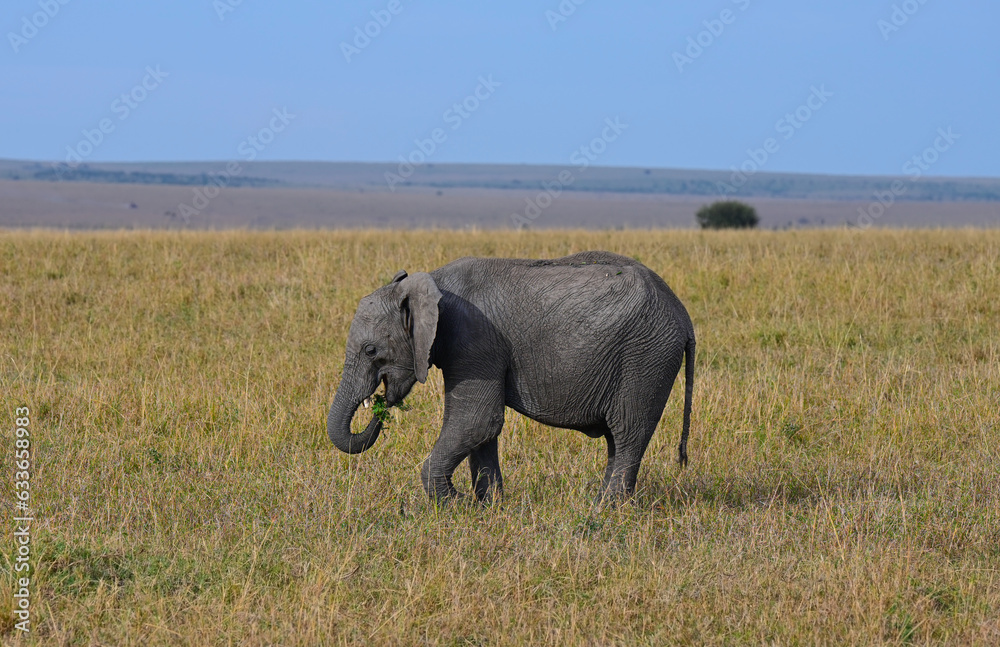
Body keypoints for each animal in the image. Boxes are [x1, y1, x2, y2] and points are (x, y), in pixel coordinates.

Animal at [326, 250, 695, 503]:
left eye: (371, 351)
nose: (380, 406)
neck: (429, 281)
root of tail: (683, 315)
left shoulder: (475, 341)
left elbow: (477, 421)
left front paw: (456, 503)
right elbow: (482, 430)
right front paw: (488, 505)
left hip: (646, 356)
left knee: (629, 431)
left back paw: (605, 509)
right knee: (617, 440)